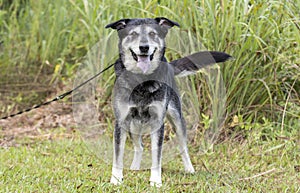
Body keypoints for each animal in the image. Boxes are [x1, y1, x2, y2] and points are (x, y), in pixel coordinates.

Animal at [106, 17, 232, 186]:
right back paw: (134, 167)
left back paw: (189, 169)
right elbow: (118, 155)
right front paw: (116, 179)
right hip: (133, 124)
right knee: (140, 146)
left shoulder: (158, 122)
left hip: (177, 119)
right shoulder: (121, 121)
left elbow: (157, 156)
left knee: (183, 147)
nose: (144, 47)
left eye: (153, 33)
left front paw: (155, 181)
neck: (141, 80)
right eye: (133, 34)